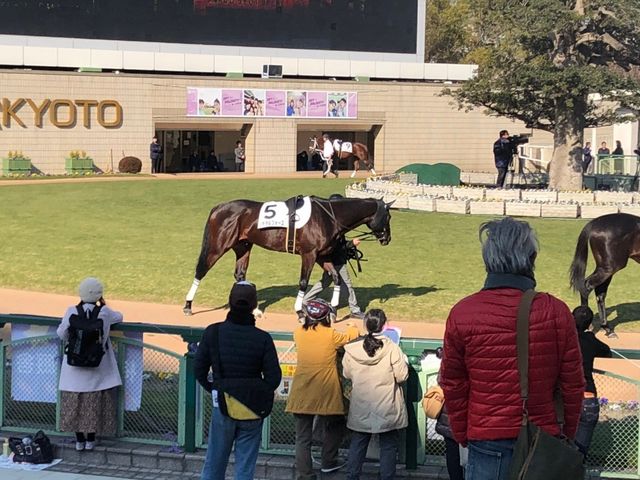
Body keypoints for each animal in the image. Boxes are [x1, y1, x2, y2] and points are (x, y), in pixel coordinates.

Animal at [182, 195, 392, 316]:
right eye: (388, 216)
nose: (387, 238)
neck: (328, 216)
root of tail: (218, 208)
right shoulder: (309, 255)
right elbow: (303, 283)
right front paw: (299, 311)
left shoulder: (322, 256)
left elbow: (336, 278)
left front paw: (332, 309)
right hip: (218, 246)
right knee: (201, 271)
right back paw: (188, 306)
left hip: (243, 247)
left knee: (240, 275)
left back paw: (254, 309)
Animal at [568, 212, 640, 340]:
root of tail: (594, 222)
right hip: (609, 268)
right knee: (587, 286)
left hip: (605, 268)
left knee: (600, 293)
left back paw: (607, 328)